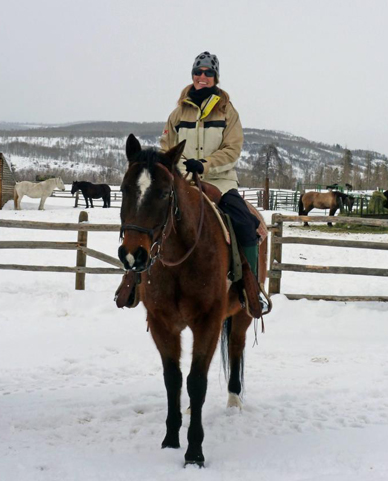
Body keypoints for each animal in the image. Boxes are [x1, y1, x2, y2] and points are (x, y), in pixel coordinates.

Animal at [116, 133, 266, 466]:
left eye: (164, 193)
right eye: (124, 188)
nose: (133, 255)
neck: (179, 259)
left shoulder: (207, 323)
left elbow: (197, 381)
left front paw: (194, 452)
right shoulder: (162, 324)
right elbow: (173, 379)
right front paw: (171, 439)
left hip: (241, 315)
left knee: (235, 348)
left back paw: (234, 401)